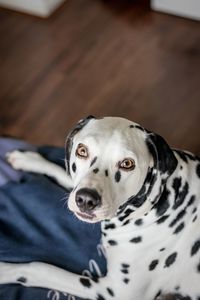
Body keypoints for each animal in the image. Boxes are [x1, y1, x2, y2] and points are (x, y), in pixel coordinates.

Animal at [0, 116, 200, 300]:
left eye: (127, 163)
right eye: (82, 150)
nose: (86, 199)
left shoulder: (116, 292)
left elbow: (39, 269)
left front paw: (5, 271)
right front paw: (29, 159)